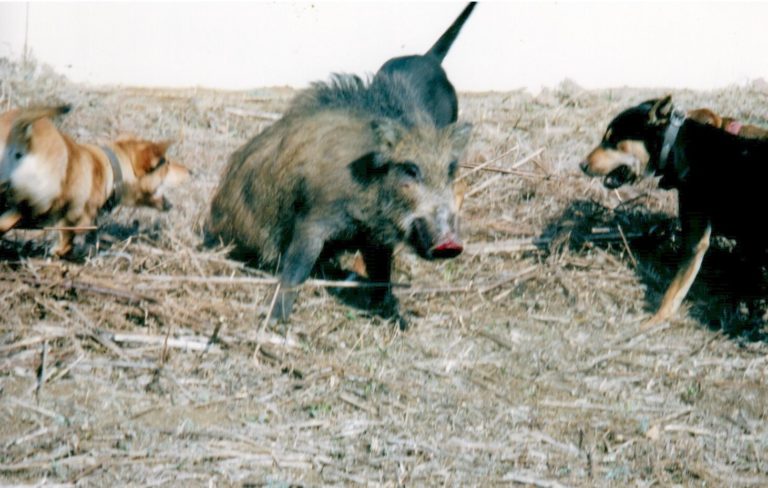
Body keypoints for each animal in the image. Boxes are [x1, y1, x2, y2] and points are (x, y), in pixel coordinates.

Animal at [0, 103, 190, 255]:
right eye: (166, 163)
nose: (191, 171)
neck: (113, 170)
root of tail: (22, 136)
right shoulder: (75, 220)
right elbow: (66, 243)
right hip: (38, 201)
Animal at [580, 96, 768, 326]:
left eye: (613, 140)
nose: (581, 165)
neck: (676, 147)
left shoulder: (696, 241)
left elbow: (674, 290)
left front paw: (653, 321)